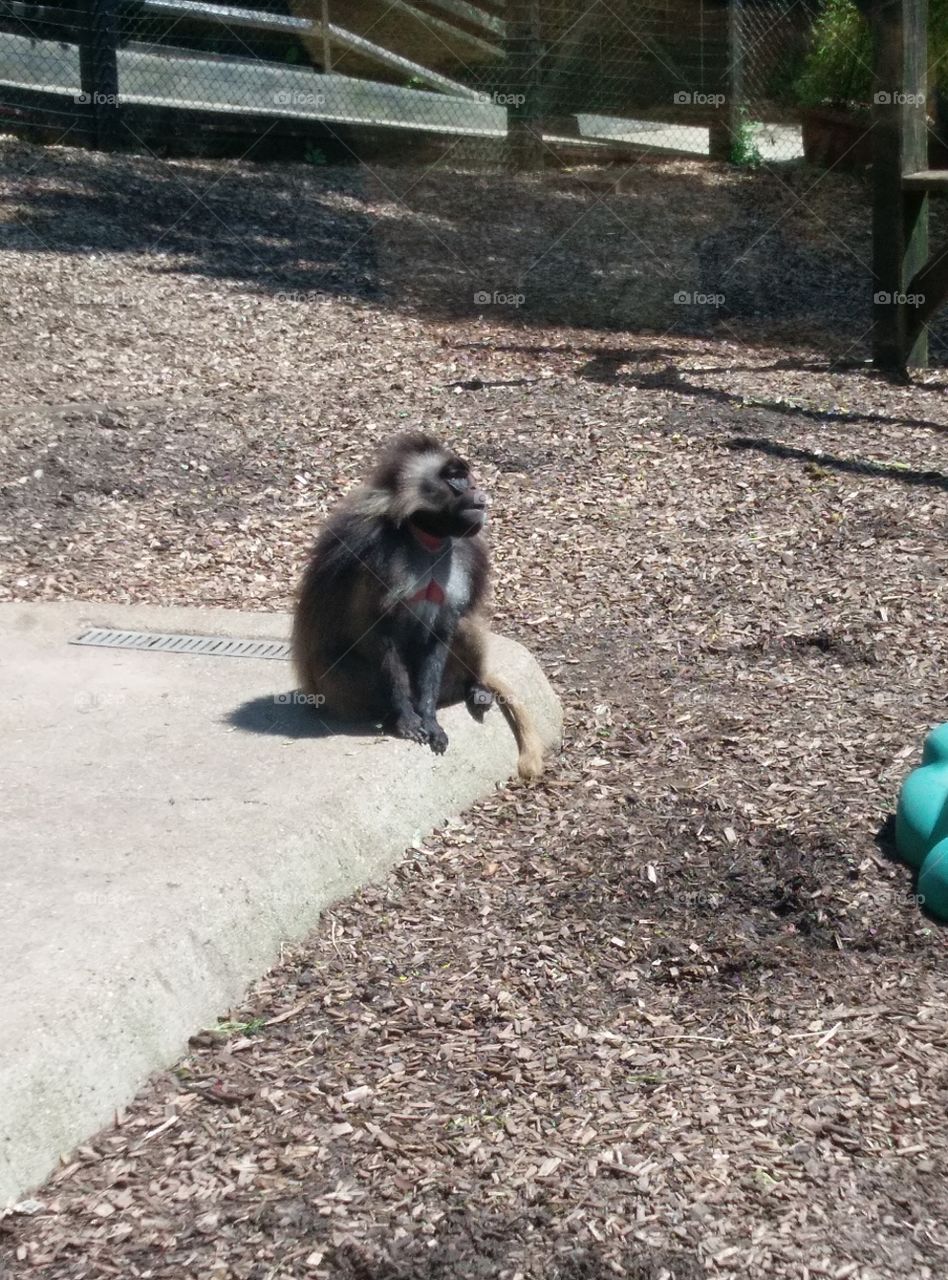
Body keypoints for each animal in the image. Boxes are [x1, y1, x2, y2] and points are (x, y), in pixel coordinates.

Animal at [291, 432, 545, 780]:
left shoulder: (463, 554)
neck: (424, 537)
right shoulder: (374, 557)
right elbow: (378, 634)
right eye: (454, 478)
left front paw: (429, 719)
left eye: (466, 475)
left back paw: (475, 688)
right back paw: (388, 714)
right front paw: (408, 719)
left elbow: (442, 632)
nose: (479, 493)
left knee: (463, 627)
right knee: (337, 660)